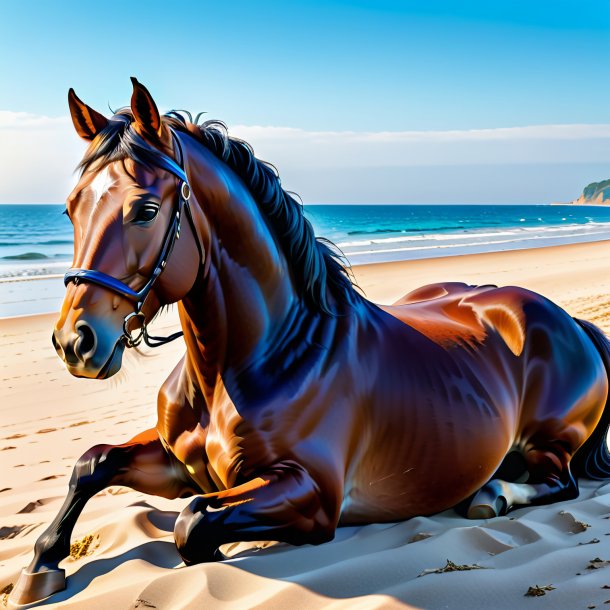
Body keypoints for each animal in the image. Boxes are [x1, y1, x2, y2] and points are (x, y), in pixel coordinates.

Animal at [8, 78, 608, 604]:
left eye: (145, 210)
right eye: (71, 207)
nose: (75, 342)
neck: (266, 358)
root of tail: (572, 323)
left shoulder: (312, 495)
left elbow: (192, 522)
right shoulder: (177, 462)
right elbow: (92, 463)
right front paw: (41, 567)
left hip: (550, 441)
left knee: (560, 482)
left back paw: (495, 493)